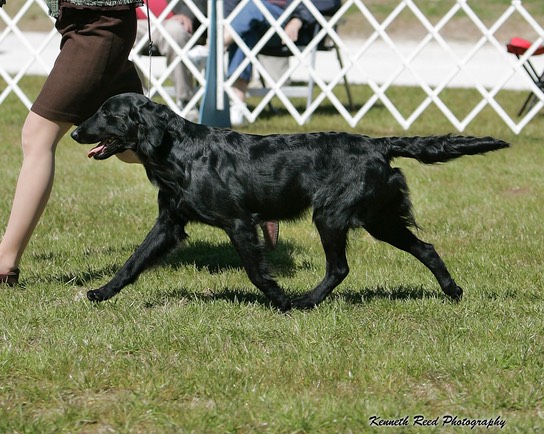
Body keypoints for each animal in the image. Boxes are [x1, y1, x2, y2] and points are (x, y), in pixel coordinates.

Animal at [71, 92, 510, 308]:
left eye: (107, 114)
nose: (75, 132)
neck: (178, 151)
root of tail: (377, 144)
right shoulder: (170, 223)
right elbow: (133, 262)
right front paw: (100, 293)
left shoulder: (239, 223)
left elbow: (255, 272)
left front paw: (280, 299)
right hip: (378, 218)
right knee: (426, 248)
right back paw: (453, 292)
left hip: (331, 215)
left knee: (339, 268)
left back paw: (305, 301)